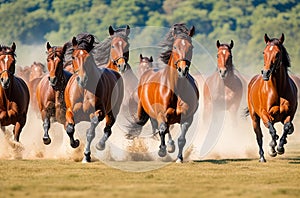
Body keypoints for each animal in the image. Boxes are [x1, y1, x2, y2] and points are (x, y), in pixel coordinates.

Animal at [136, 23, 199, 162]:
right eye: (175, 46)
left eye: (191, 47)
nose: (182, 70)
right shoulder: (161, 114)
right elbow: (162, 130)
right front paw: (162, 151)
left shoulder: (187, 118)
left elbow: (181, 139)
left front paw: (179, 158)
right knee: (162, 129)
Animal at [246, 33, 298, 162]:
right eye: (264, 52)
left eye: (277, 53)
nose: (265, 73)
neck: (278, 91)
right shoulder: (264, 114)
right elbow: (272, 130)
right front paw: (273, 149)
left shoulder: (290, 114)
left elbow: (286, 127)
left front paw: (280, 147)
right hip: (255, 118)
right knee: (259, 135)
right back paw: (262, 157)